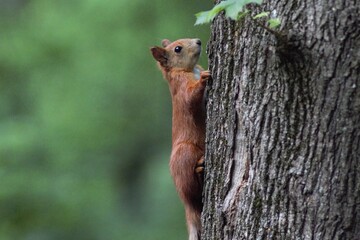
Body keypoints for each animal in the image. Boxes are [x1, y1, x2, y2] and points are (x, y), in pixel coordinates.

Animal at [150, 38, 210, 240]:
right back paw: (199, 171)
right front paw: (204, 79)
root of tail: (188, 209)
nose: (199, 41)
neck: (189, 70)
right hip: (184, 153)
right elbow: (190, 98)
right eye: (177, 49)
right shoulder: (181, 88)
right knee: (192, 193)